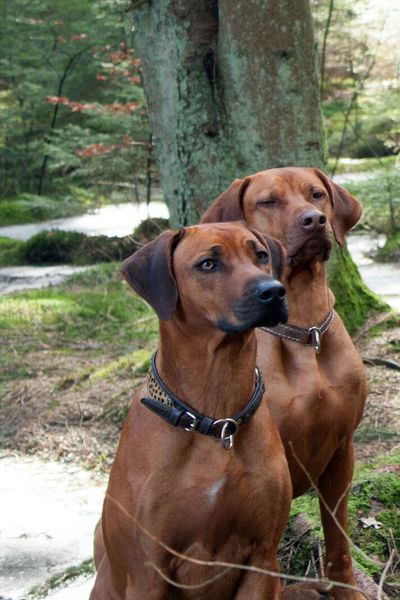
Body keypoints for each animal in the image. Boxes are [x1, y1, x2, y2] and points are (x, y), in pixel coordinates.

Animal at [89, 221, 323, 599]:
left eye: (260, 255)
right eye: (208, 264)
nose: (274, 292)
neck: (216, 418)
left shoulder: (262, 557)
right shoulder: (148, 574)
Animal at [201, 168, 368, 599]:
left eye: (317, 195)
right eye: (269, 201)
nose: (314, 220)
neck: (304, 329)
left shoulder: (341, 451)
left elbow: (339, 538)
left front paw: (345, 589)